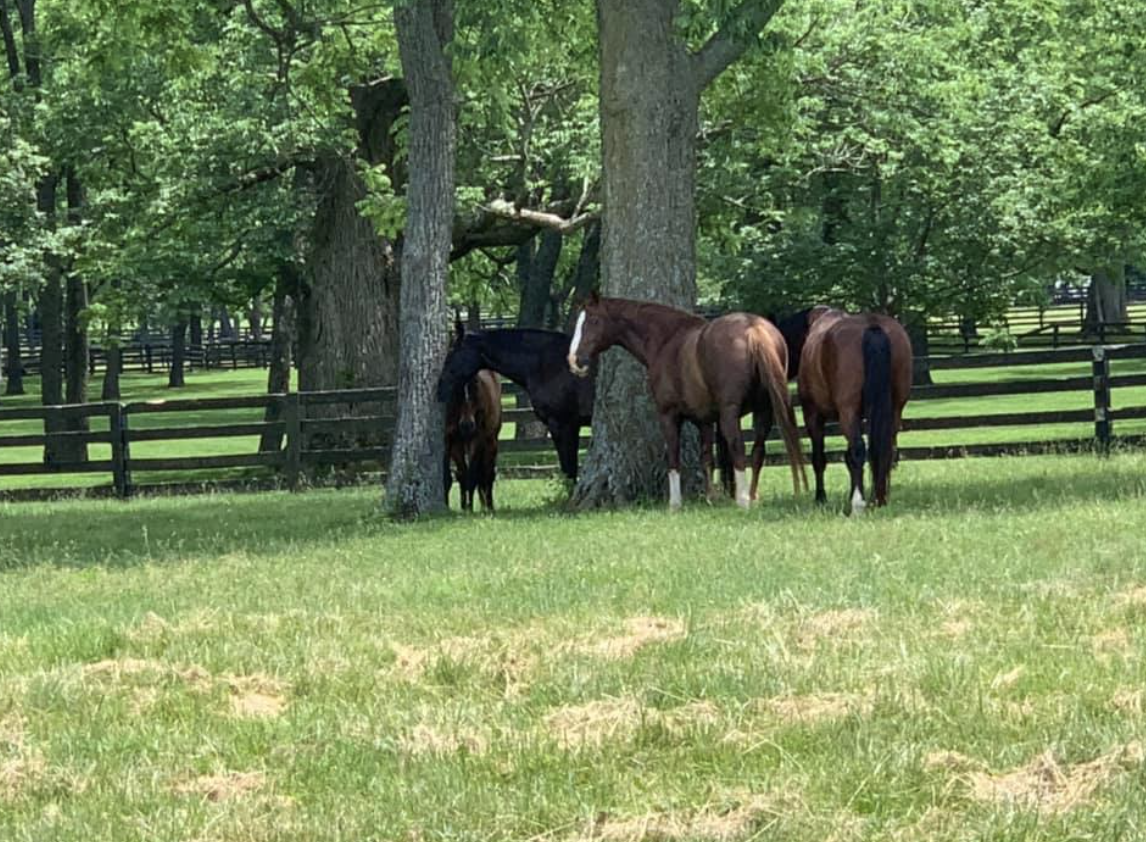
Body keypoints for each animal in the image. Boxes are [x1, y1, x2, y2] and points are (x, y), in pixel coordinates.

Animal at [442, 368, 501, 513]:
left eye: (475, 387)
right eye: (457, 391)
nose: (467, 425)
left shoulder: (476, 440)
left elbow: (472, 476)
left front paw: (469, 508)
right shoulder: (451, 441)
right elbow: (452, 477)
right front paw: (451, 506)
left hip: (491, 443)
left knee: (488, 474)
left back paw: (489, 506)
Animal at [566, 293, 806, 510]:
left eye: (594, 321)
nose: (575, 361)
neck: (666, 340)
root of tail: (752, 328)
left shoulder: (668, 415)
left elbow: (674, 456)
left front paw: (675, 503)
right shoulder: (705, 420)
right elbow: (706, 457)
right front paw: (711, 498)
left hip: (731, 414)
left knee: (738, 447)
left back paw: (743, 500)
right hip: (764, 410)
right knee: (757, 450)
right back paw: (753, 497)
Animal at [779, 307, 912, 510]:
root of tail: (872, 326)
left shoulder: (813, 416)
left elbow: (820, 459)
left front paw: (821, 498)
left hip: (847, 412)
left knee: (858, 450)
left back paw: (858, 503)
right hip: (894, 410)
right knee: (886, 449)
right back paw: (879, 498)